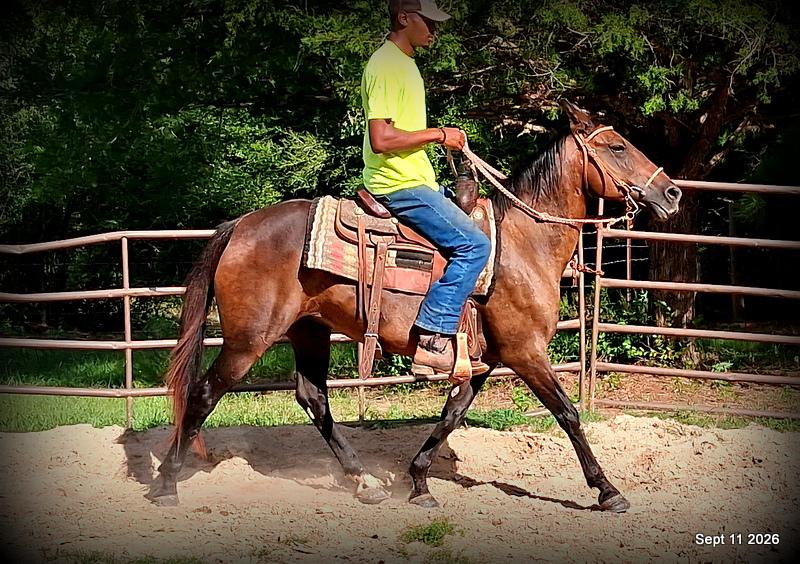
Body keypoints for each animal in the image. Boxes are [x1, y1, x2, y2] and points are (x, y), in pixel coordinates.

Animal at [147, 101, 681, 512]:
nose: (672, 192)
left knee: (313, 397)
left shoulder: (485, 360)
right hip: (247, 339)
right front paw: (608, 490)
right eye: (618, 147)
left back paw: (364, 482)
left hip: (309, 330)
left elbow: (451, 416)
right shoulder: (526, 353)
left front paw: (420, 481)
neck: (523, 245)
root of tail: (239, 226)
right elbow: (568, 414)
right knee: (202, 395)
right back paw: (166, 483)